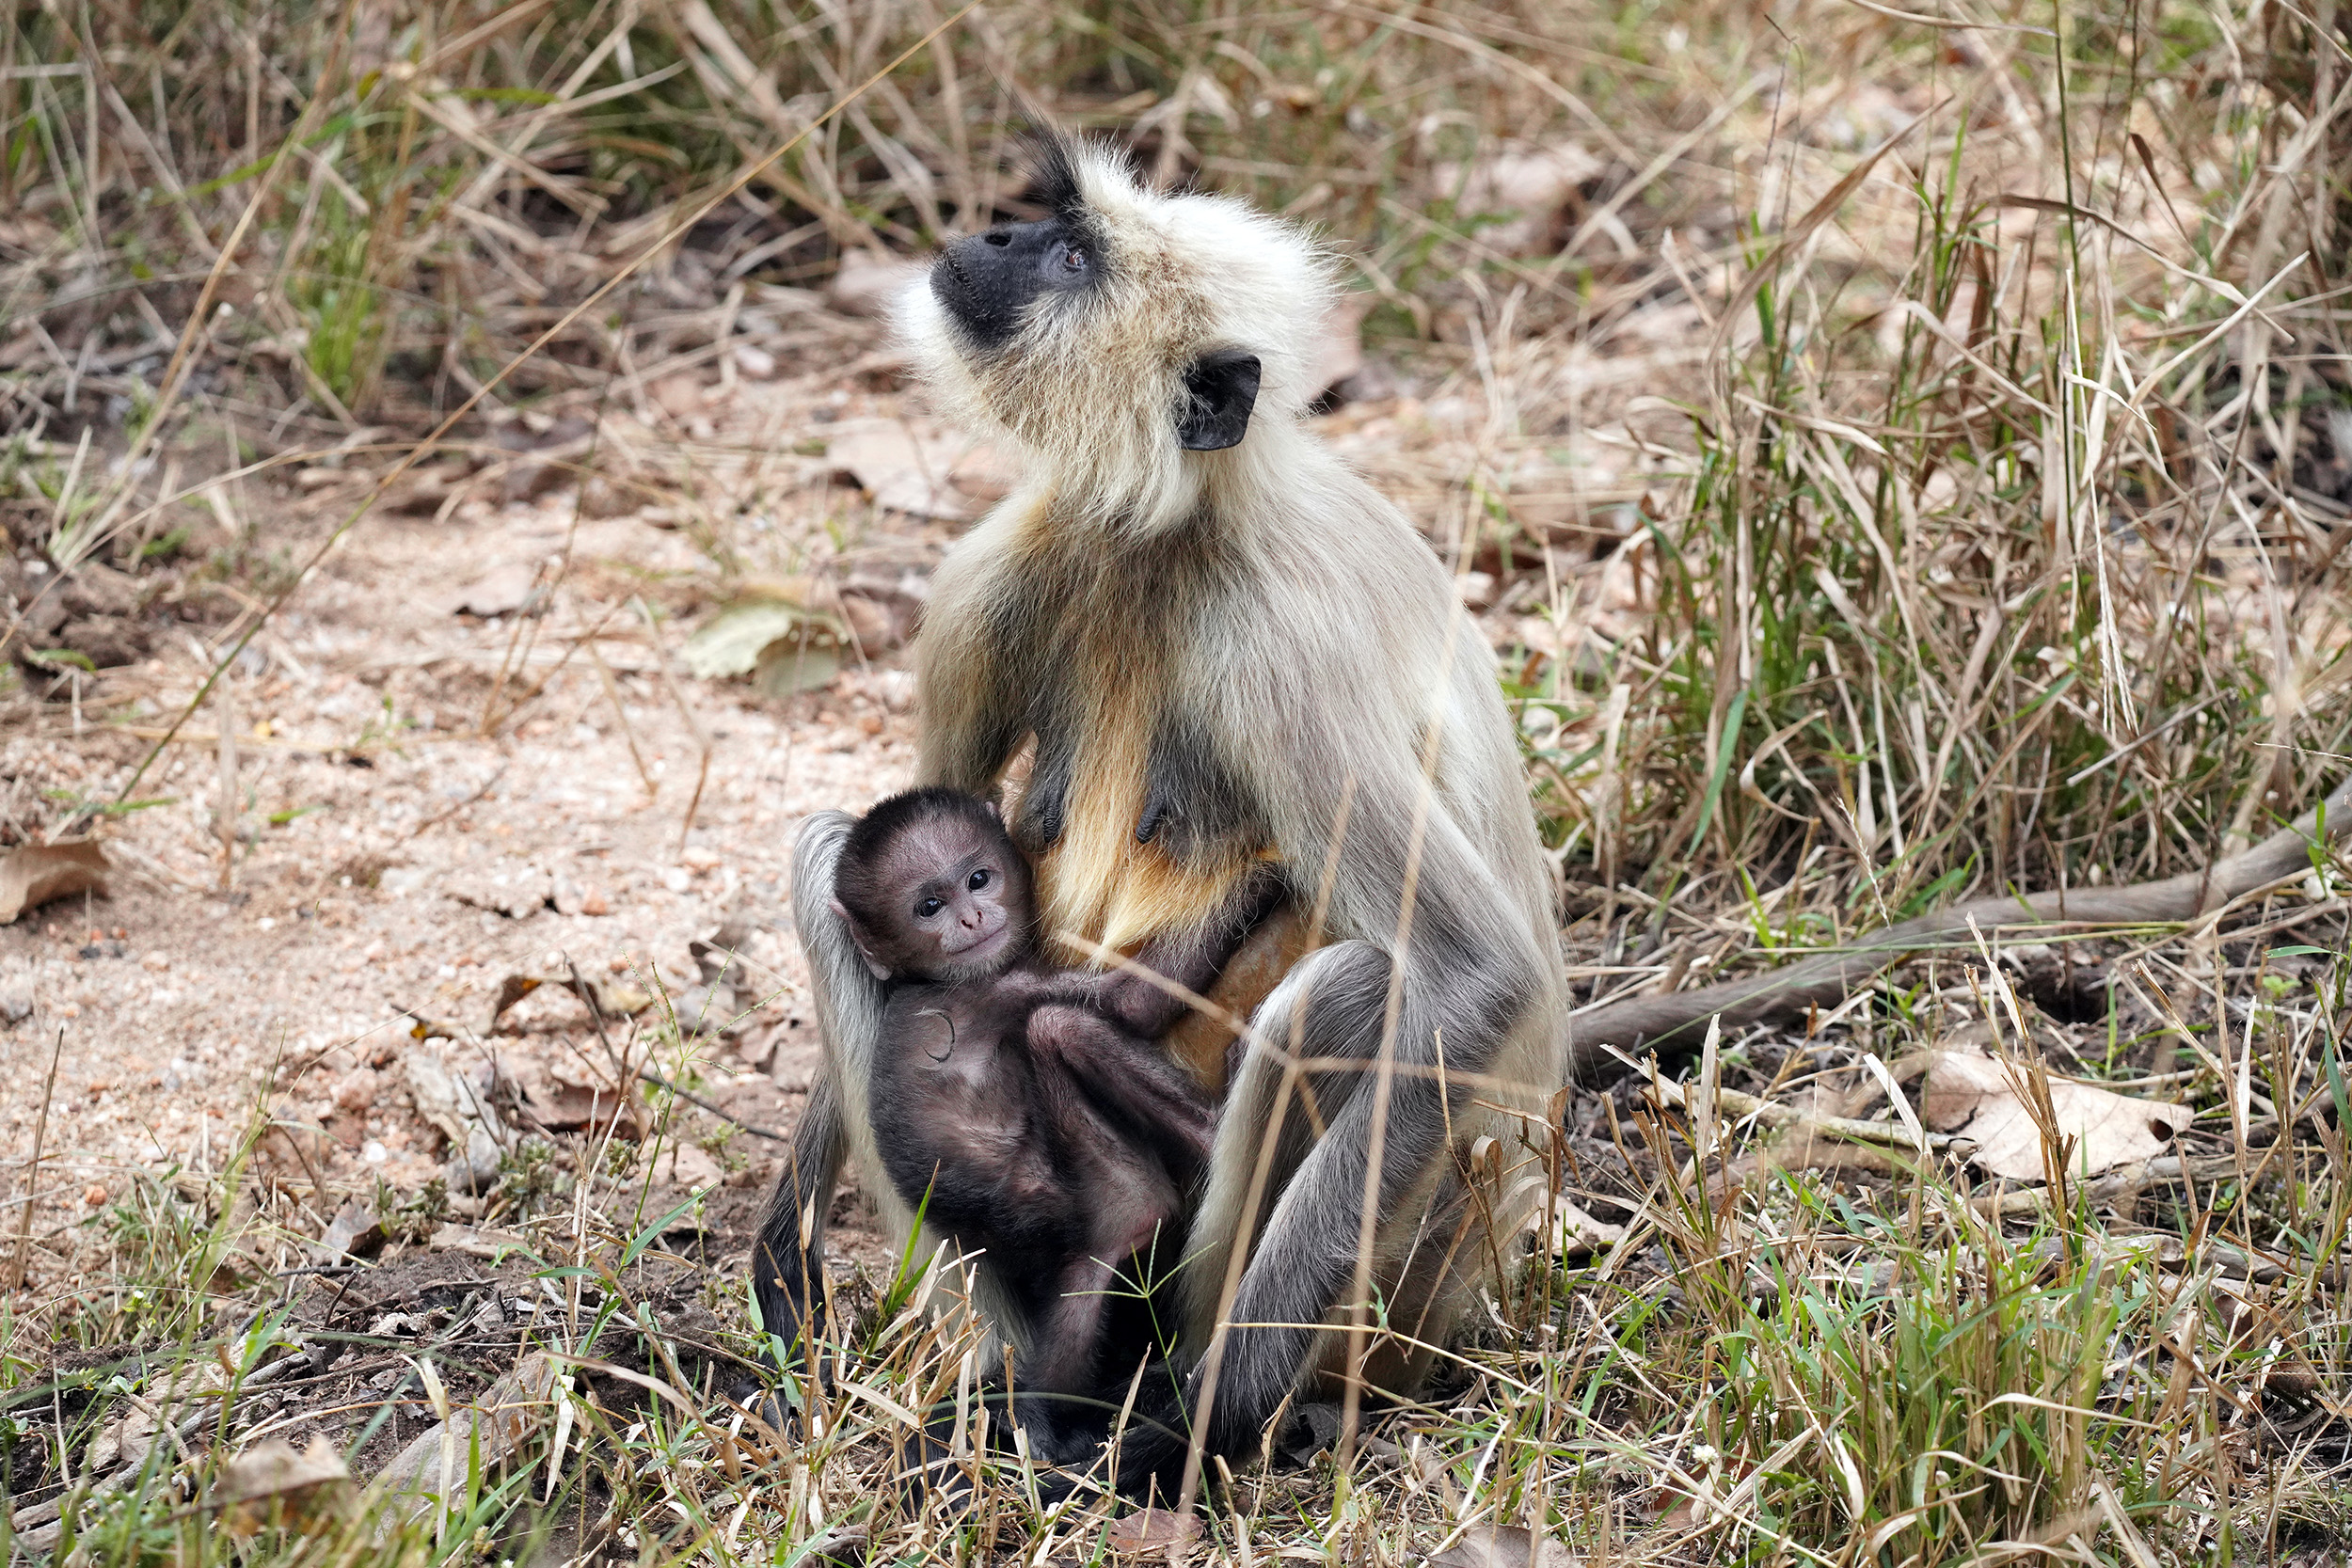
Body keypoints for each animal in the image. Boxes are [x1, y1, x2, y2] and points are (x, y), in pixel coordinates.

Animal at [823, 787, 1274, 1430]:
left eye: (979, 878)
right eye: (929, 906)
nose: (971, 917)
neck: (924, 981)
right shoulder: (1000, 986)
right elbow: (1129, 1005)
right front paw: (1267, 877)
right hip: (1109, 1192)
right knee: (1059, 1026)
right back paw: (1218, 1133)